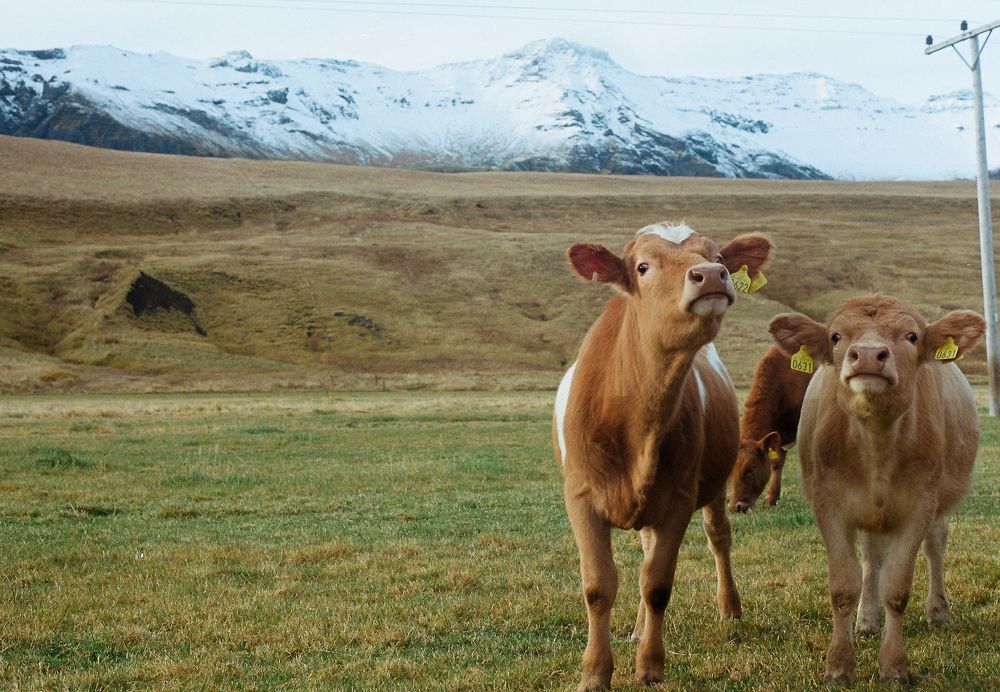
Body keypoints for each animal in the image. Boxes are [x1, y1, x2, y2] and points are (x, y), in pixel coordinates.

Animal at [553, 222, 773, 690]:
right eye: (642, 266)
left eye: (719, 258)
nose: (710, 275)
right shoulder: (580, 497)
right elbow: (598, 585)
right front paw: (594, 672)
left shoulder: (678, 498)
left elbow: (657, 583)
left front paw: (650, 667)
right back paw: (636, 629)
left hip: (711, 489)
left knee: (717, 539)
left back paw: (729, 608)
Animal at [767, 295, 985, 685]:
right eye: (836, 336)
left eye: (912, 336)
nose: (868, 355)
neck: (875, 443)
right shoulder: (827, 503)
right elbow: (844, 585)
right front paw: (839, 664)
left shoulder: (920, 506)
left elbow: (897, 588)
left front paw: (894, 666)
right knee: (871, 556)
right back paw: (867, 620)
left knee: (935, 545)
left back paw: (937, 610)